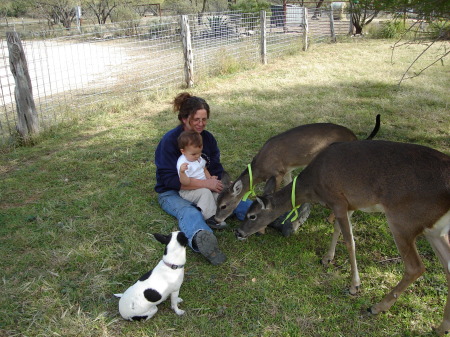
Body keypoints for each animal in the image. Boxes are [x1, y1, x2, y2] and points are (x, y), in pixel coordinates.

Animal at [214, 114, 380, 224]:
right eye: (216, 202)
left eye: (224, 205)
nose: (216, 219)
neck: (260, 169)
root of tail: (354, 137)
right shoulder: (287, 169)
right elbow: (290, 186)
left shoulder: (277, 172)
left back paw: (330, 219)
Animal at [236, 138, 450, 334]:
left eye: (251, 215)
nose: (238, 232)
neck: (313, 186)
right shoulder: (349, 204)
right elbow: (337, 230)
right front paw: (327, 258)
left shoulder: (338, 199)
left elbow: (350, 241)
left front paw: (355, 285)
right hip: (434, 230)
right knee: (447, 267)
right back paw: (441, 327)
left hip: (403, 219)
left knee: (416, 267)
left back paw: (377, 307)